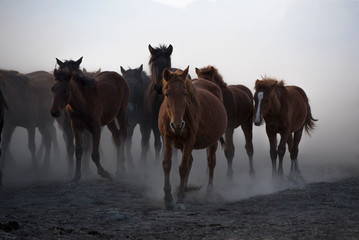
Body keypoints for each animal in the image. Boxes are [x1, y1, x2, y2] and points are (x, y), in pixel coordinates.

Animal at [158, 66, 226, 209]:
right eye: (167, 94)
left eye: (185, 94)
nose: (177, 125)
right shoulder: (168, 138)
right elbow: (167, 164)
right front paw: (168, 198)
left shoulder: (189, 140)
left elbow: (183, 167)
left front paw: (179, 200)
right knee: (190, 161)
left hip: (212, 142)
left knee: (211, 162)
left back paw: (209, 193)